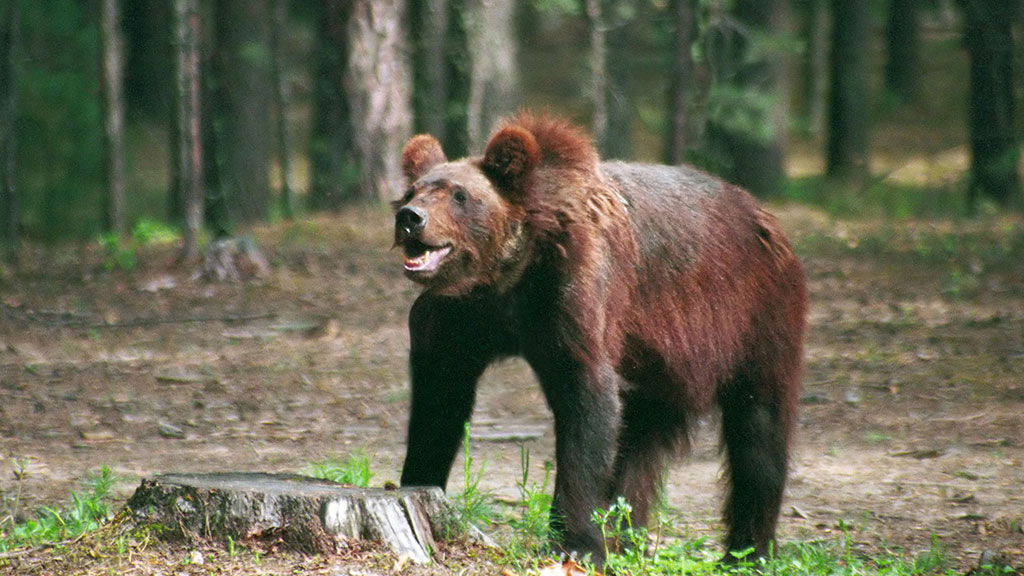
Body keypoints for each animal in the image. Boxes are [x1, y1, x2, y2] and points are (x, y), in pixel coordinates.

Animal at [391, 113, 806, 565]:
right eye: (412, 191)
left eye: (459, 195)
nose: (410, 217)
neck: (509, 275)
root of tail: (765, 215)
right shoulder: (462, 318)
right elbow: (439, 402)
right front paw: (416, 481)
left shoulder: (575, 298)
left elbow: (587, 404)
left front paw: (576, 541)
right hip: (658, 363)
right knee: (641, 442)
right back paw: (627, 534)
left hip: (754, 321)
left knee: (758, 431)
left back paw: (747, 550)